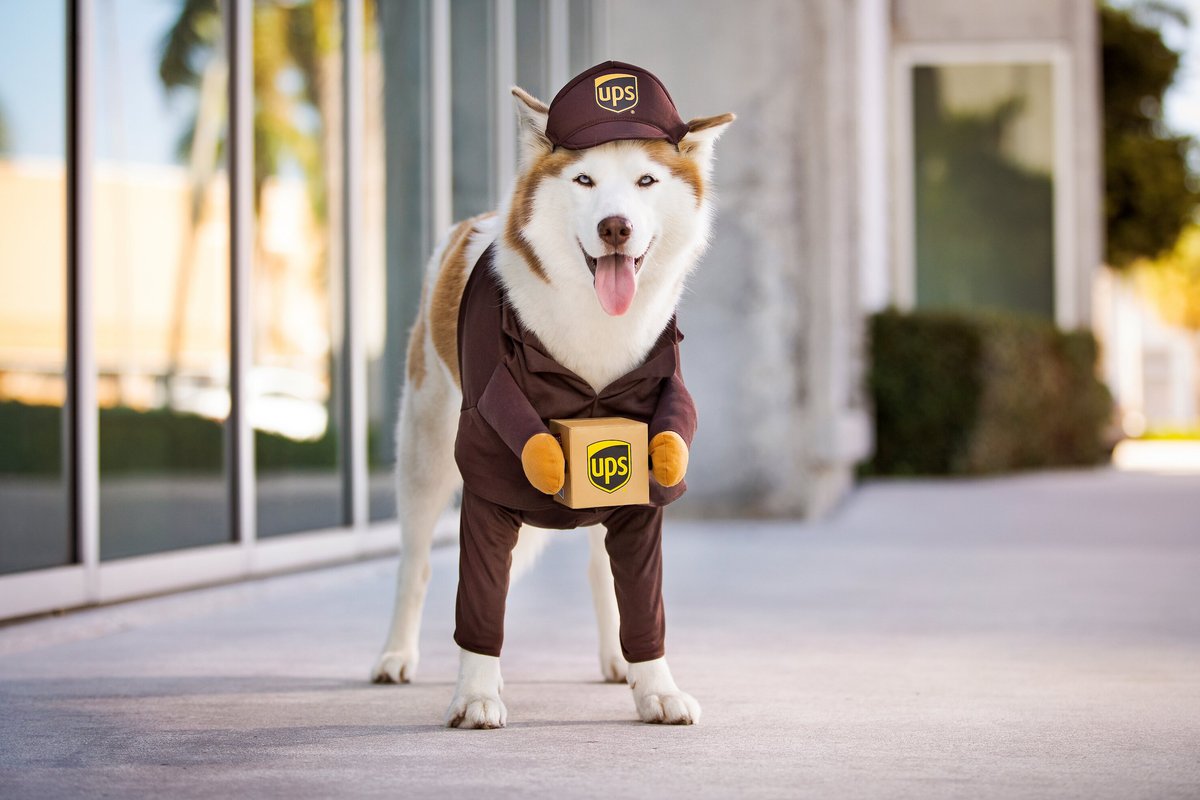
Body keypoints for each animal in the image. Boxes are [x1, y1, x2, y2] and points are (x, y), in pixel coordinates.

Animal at [369, 71, 734, 729]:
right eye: (583, 180)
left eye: (646, 181)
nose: (615, 227)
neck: (593, 332)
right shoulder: (488, 475)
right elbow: (478, 597)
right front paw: (476, 695)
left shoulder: (645, 474)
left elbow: (640, 596)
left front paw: (655, 686)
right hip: (424, 454)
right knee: (417, 563)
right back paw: (396, 655)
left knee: (596, 568)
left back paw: (616, 662)